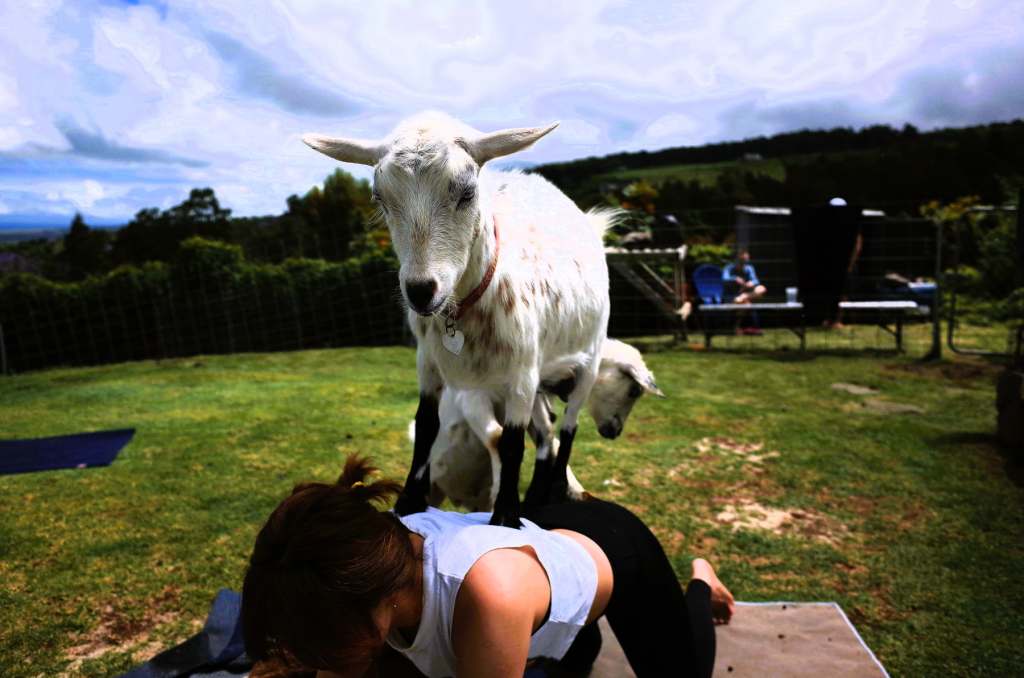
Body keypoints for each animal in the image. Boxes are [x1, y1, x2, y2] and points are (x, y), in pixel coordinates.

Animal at [303, 111, 606, 528]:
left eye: (467, 192)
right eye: (380, 198)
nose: (420, 290)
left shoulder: (522, 371)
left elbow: (511, 442)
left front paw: (506, 516)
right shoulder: (428, 361)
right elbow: (427, 425)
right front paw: (408, 503)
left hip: (588, 357)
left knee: (569, 425)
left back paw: (558, 488)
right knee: (546, 430)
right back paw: (537, 494)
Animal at [423, 340, 663, 510]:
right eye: (634, 390)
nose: (615, 432)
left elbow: (549, 438)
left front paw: (576, 490)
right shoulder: (473, 398)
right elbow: (497, 437)